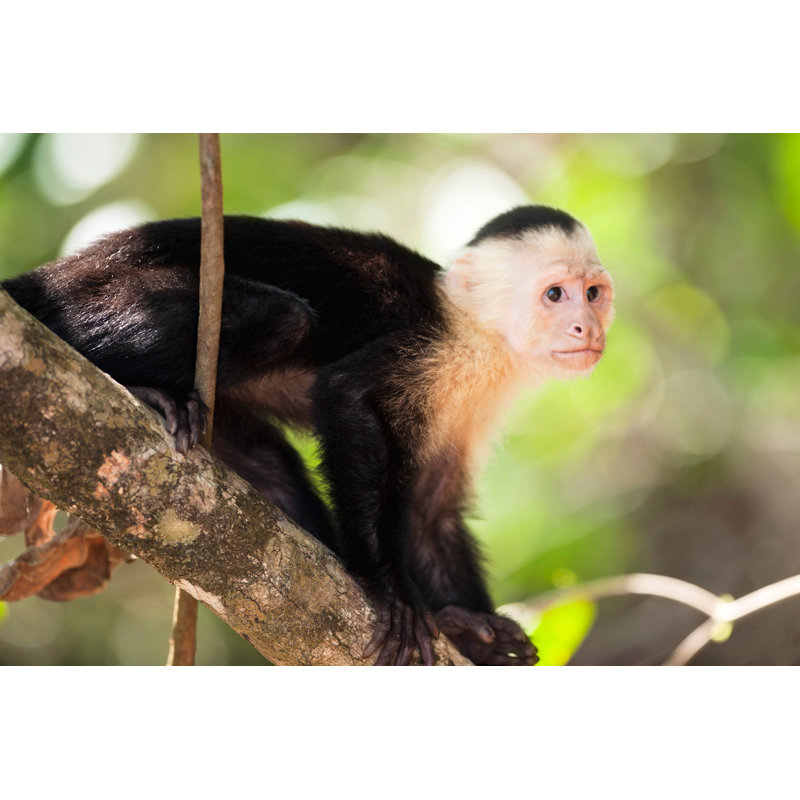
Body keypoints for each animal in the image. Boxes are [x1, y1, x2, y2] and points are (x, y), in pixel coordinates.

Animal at [1, 204, 614, 666]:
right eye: (555, 295)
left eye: (593, 293)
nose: (587, 328)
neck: (477, 333)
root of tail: (58, 272)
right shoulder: (428, 346)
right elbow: (345, 396)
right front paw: (390, 590)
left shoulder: (475, 398)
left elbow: (427, 513)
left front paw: (471, 635)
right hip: (92, 299)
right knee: (279, 319)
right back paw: (141, 388)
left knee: (266, 465)